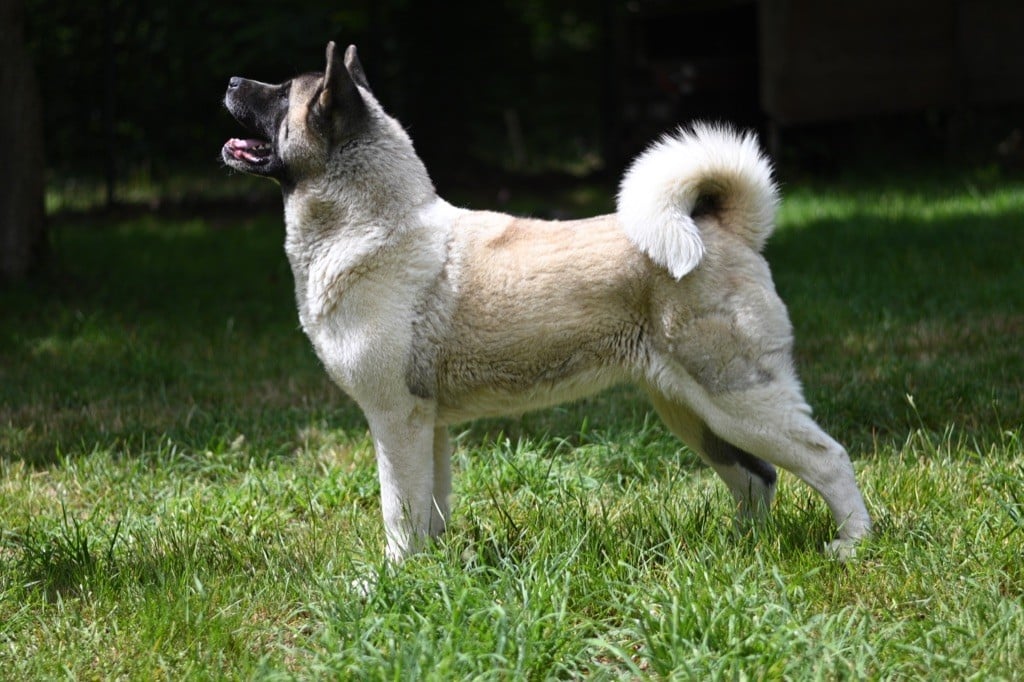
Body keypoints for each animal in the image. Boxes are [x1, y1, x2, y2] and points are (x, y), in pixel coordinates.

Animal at [224, 43, 872, 561]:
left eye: (281, 94)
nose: (231, 80)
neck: (374, 227)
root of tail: (727, 228)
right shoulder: (428, 427)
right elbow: (430, 507)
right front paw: (431, 573)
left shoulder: (395, 419)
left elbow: (399, 511)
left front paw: (390, 579)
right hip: (693, 412)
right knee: (756, 477)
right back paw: (740, 548)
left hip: (737, 399)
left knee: (828, 458)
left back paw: (852, 544)